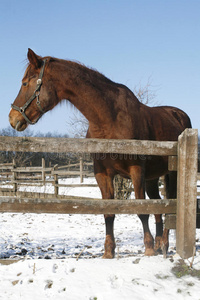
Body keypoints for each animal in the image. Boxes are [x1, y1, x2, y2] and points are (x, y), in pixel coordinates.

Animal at [8, 49, 191, 258]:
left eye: (24, 83)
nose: (12, 118)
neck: (109, 120)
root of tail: (179, 116)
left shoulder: (136, 171)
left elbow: (142, 210)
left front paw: (149, 248)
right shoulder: (102, 173)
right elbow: (108, 212)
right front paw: (109, 252)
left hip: (171, 174)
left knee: (170, 204)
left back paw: (163, 244)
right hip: (152, 177)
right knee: (158, 204)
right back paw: (161, 244)